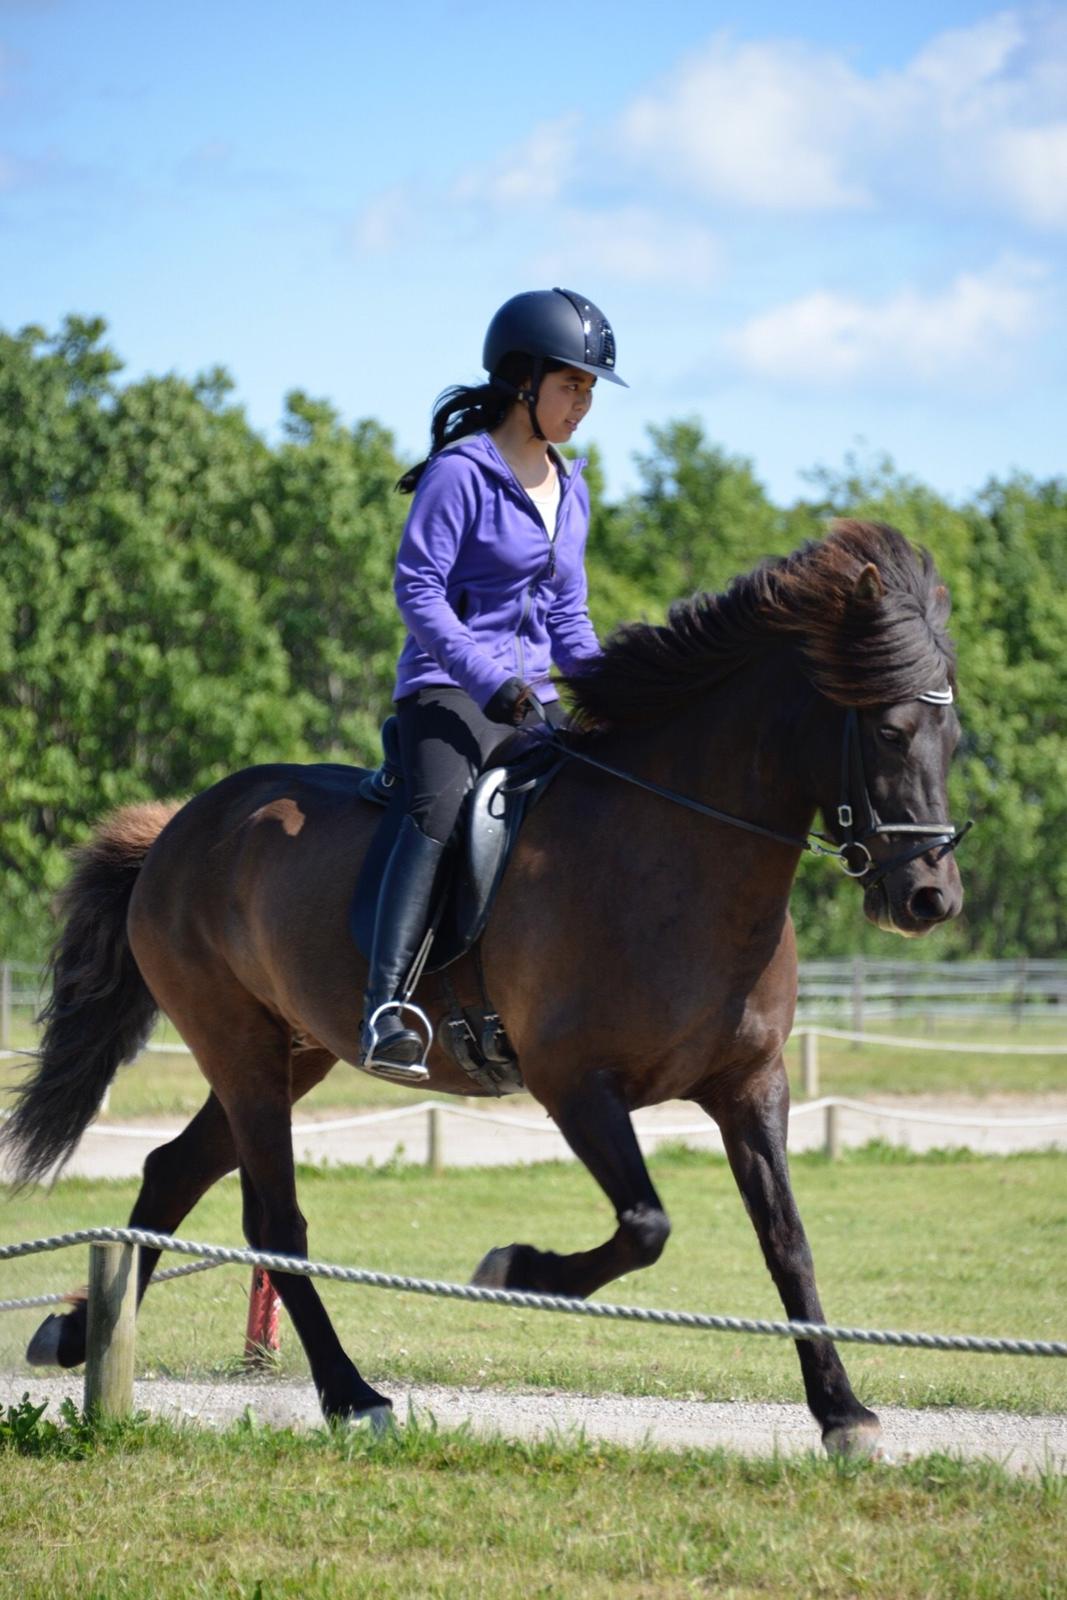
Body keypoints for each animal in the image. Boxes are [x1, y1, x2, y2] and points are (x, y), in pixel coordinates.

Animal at [2, 518, 966, 1459]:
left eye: (951, 741)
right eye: (886, 731)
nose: (929, 898)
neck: (677, 853)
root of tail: (180, 825)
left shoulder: (750, 1085)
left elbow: (786, 1242)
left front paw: (841, 1412)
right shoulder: (572, 1084)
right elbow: (645, 1226)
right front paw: (516, 1268)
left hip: (292, 1052)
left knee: (173, 1172)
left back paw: (76, 1335)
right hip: (235, 1044)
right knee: (273, 1222)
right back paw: (351, 1396)